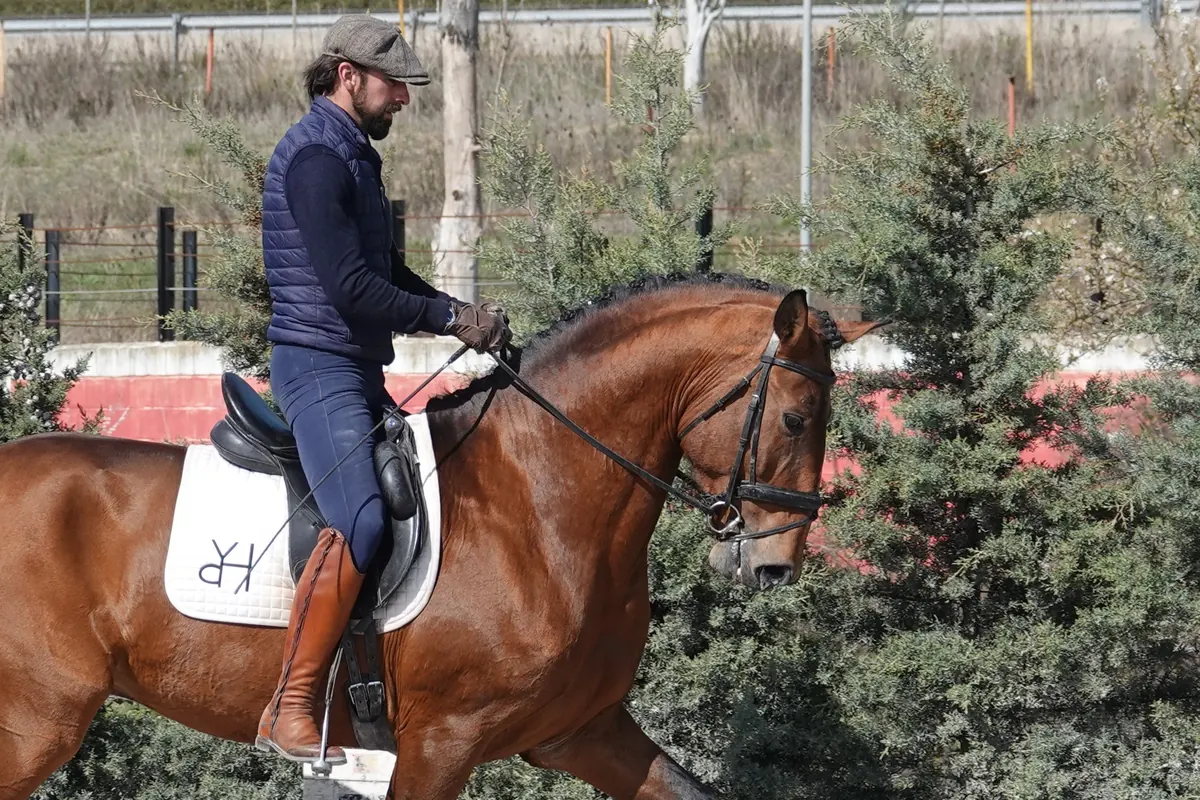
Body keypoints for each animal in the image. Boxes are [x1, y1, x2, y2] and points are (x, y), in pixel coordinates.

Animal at [0, 273, 878, 800]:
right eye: (796, 417)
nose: (775, 566)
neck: (540, 498)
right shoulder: (441, 744)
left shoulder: (581, 731)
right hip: (37, 721)